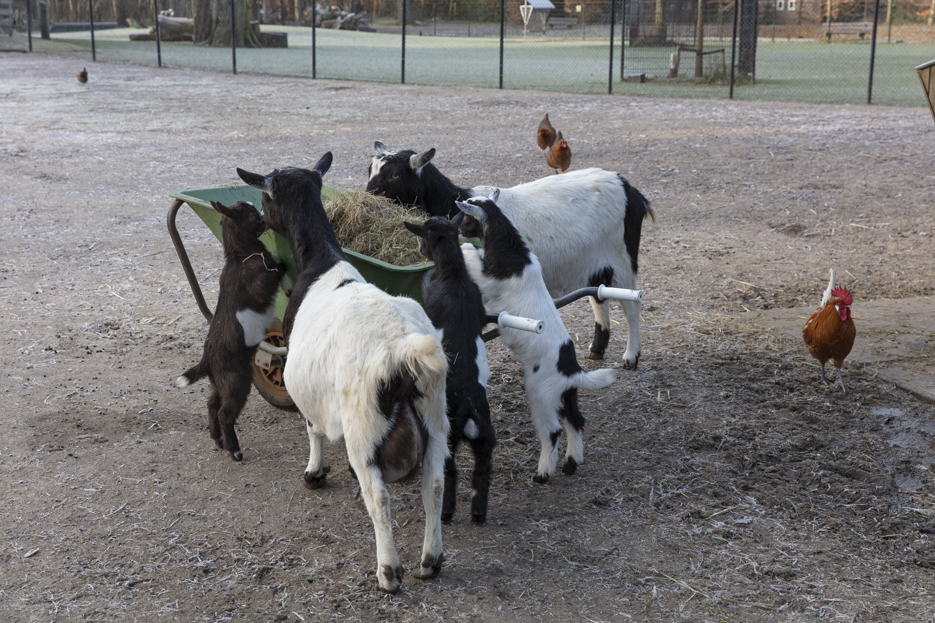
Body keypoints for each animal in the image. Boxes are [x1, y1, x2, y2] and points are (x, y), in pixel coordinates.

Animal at [176, 201, 288, 464]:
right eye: (251, 214)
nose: (265, 217)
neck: (241, 256)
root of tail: (207, 360)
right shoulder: (265, 278)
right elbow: (280, 267)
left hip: (219, 382)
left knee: (211, 404)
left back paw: (218, 440)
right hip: (237, 381)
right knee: (225, 412)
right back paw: (234, 450)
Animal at [238, 155, 450, 596]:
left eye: (266, 197)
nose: (263, 222)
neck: (322, 263)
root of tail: (403, 352)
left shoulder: (305, 384)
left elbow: (312, 428)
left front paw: (314, 473)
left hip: (363, 426)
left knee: (379, 496)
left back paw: (388, 571)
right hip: (436, 417)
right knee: (434, 485)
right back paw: (430, 561)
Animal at [368, 143, 660, 370]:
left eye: (395, 174)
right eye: (370, 170)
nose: (367, 196)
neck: (455, 203)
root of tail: (630, 190)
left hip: (622, 259)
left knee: (631, 304)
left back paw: (631, 356)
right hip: (594, 263)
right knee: (599, 297)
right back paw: (597, 348)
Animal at [402, 214, 498, 528]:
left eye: (423, 238)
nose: (420, 251)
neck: (455, 277)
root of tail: (468, 412)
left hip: (448, 434)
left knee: (450, 470)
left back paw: (446, 512)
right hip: (485, 438)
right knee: (482, 471)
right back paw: (478, 514)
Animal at [458, 193, 616, 486]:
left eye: (466, 217)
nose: (461, 230)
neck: (514, 253)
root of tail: (572, 370)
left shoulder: (488, 280)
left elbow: (473, 258)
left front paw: (463, 247)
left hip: (541, 395)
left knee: (553, 431)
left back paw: (543, 473)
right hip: (565, 395)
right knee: (576, 421)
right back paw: (571, 464)